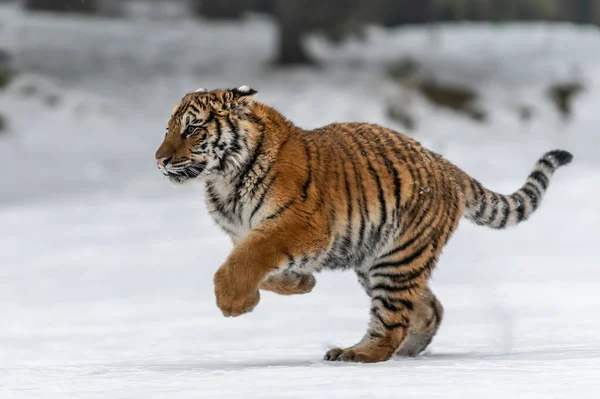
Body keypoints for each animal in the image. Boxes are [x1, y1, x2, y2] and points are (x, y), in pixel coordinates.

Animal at [154, 86, 572, 364]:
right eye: (167, 129)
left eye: (192, 129)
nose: (159, 159)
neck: (223, 181)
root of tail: (440, 161)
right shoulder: (243, 233)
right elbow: (256, 264)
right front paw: (298, 283)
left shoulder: (299, 224)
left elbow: (245, 260)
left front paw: (233, 302)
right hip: (377, 260)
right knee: (429, 307)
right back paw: (407, 350)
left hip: (397, 259)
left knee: (391, 321)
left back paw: (358, 353)